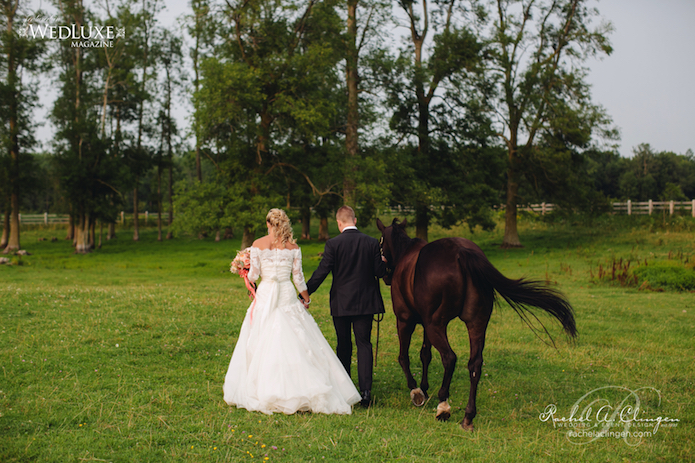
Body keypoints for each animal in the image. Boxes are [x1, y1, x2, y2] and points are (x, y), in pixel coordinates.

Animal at [378, 218, 580, 432]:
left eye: (380, 243)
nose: (385, 276)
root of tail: (460, 252)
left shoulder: (406, 320)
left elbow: (404, 357)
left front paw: (416, 391)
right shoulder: (425, 324)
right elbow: (425, 355)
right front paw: (424, 388)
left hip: (436, 324)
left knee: (449, 358)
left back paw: (444, 406)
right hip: (475, 323)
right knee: (475, 364)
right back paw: (468, 416)